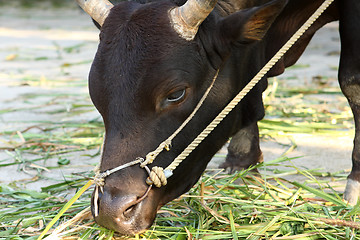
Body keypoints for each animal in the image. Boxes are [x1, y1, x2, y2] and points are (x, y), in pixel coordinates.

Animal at [76, 0, 360, 234]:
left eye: (176, 93)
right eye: (94, 92)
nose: (112, 211)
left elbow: (351, 81)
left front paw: (355, 184)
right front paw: (242, 160)